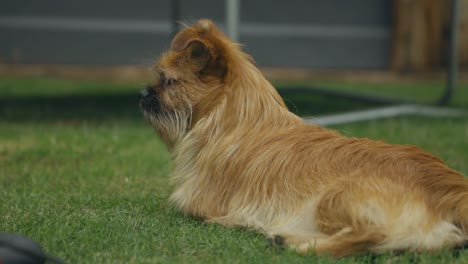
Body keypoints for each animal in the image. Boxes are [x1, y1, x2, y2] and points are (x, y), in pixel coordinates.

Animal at [140, 19, 468, 256]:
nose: (143, 93)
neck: (238, 122)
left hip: (335, 196)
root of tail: (453, 191)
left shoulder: (195, 202)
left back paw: (301, 245)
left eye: (168, 81)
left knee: (375, 236)